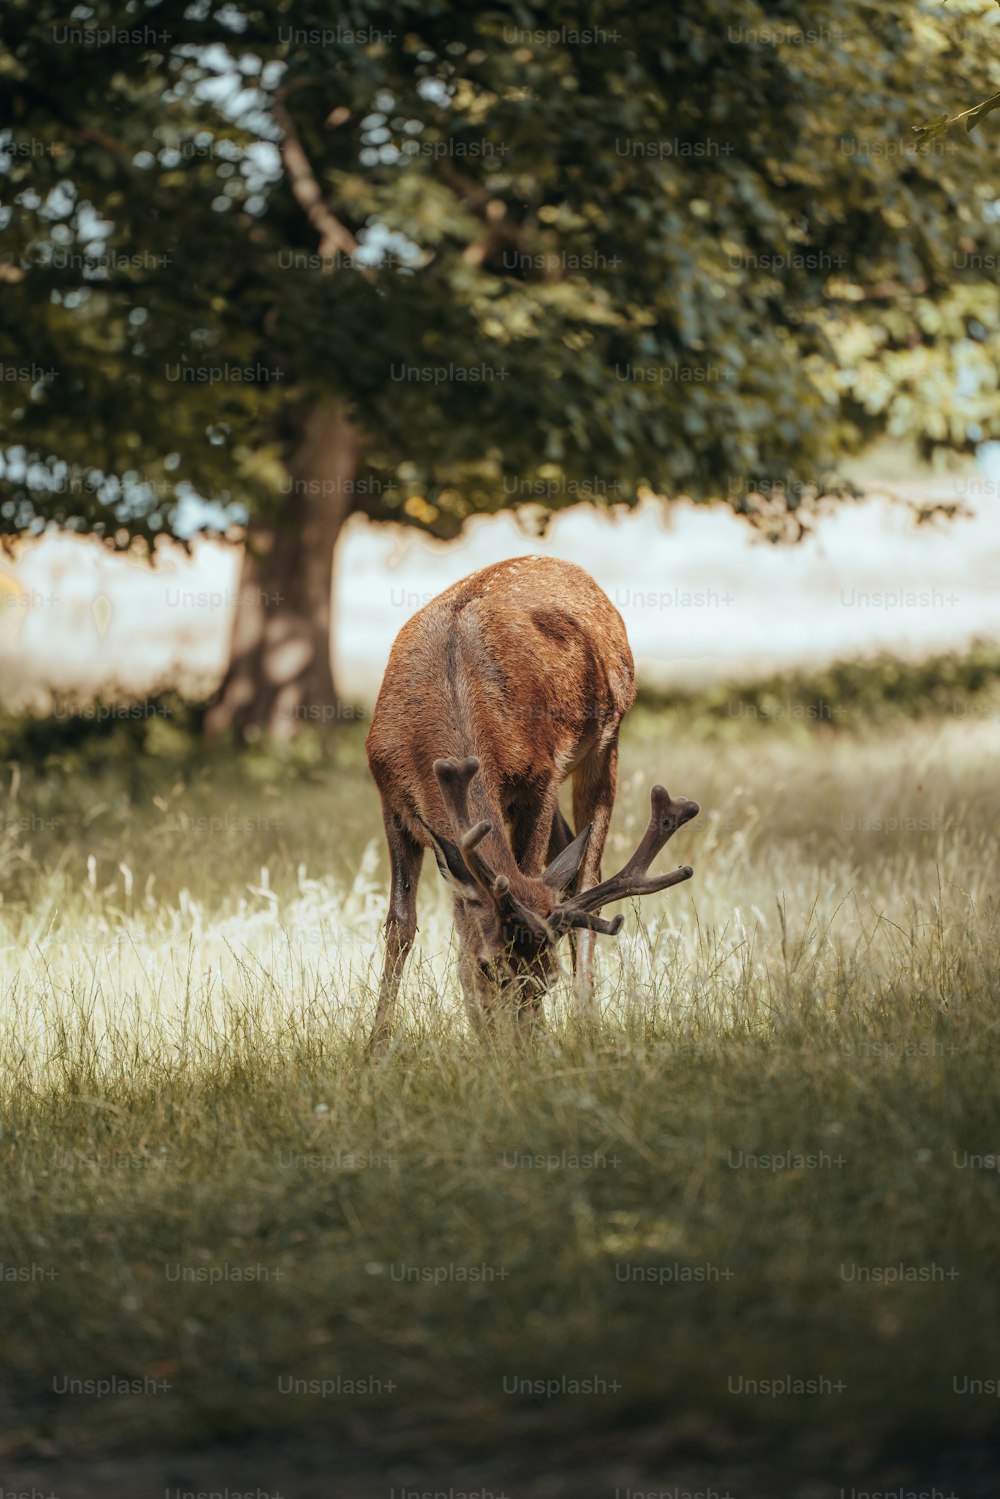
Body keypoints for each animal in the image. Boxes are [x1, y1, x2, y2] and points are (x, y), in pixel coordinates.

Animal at [364, 554, 701, 1055]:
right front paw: (374, 1049)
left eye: (548, 979)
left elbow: (531, 869)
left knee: (588, 876)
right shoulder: (391, 798)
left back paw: (586, 1021)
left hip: (607, 739)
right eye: (487, 967)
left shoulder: (538, 780)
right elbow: (401, 925)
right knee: (570, 857)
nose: (518, 1056)